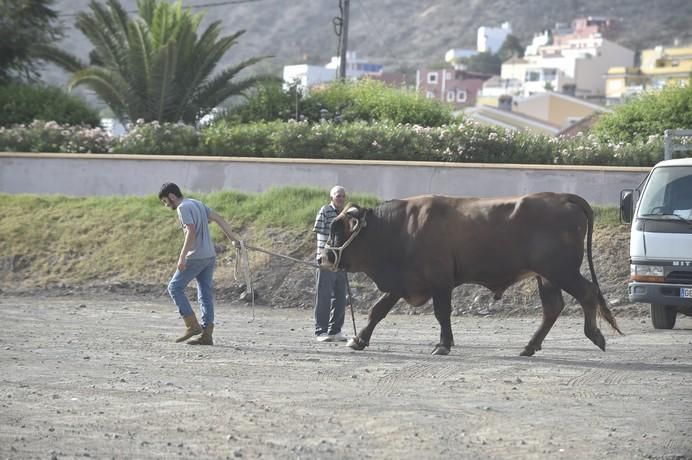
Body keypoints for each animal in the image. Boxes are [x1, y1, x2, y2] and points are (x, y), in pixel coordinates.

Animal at [318, 191, 620, 356]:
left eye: (338, 230)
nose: (322, 258)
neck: (400, 227)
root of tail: (562, 197)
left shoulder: (439, 282)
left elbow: (442, 313)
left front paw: (443, 345)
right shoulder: (402, 283)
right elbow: (377, 311)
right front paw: (359, 340)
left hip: (561, 271)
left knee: (587, 293)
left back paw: (594, 334)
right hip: (546, 277)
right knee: (553, 308)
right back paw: (529, 346)